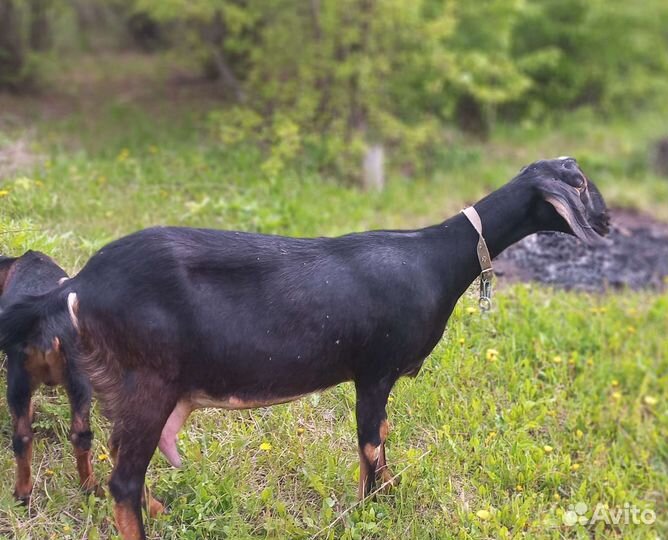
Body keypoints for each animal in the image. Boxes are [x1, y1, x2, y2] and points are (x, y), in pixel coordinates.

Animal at [0, 251, 100, 503]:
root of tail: (45, 330)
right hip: (79, 380)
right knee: (81, 436)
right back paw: (90, 487)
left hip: (18, 382)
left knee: (23, 437)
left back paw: (22, 493)